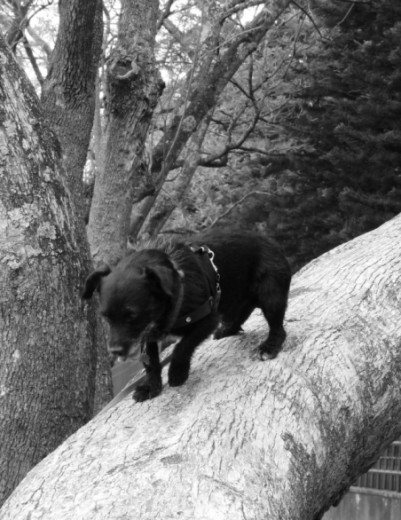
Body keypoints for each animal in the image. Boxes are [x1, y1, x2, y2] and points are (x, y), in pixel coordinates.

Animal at [83, 232, 290, 402]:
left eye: (132, 315)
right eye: (105, 317)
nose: (115, 351)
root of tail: (270, 240)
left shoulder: (207, 320)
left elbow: (182, 346)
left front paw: (177, 372)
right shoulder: (148, 335)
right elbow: (151, 362)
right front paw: (151, 386)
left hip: (270, 294)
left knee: (278, 327)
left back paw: (270, 346)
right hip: (236, 298)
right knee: (243, 310)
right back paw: (228, 329)